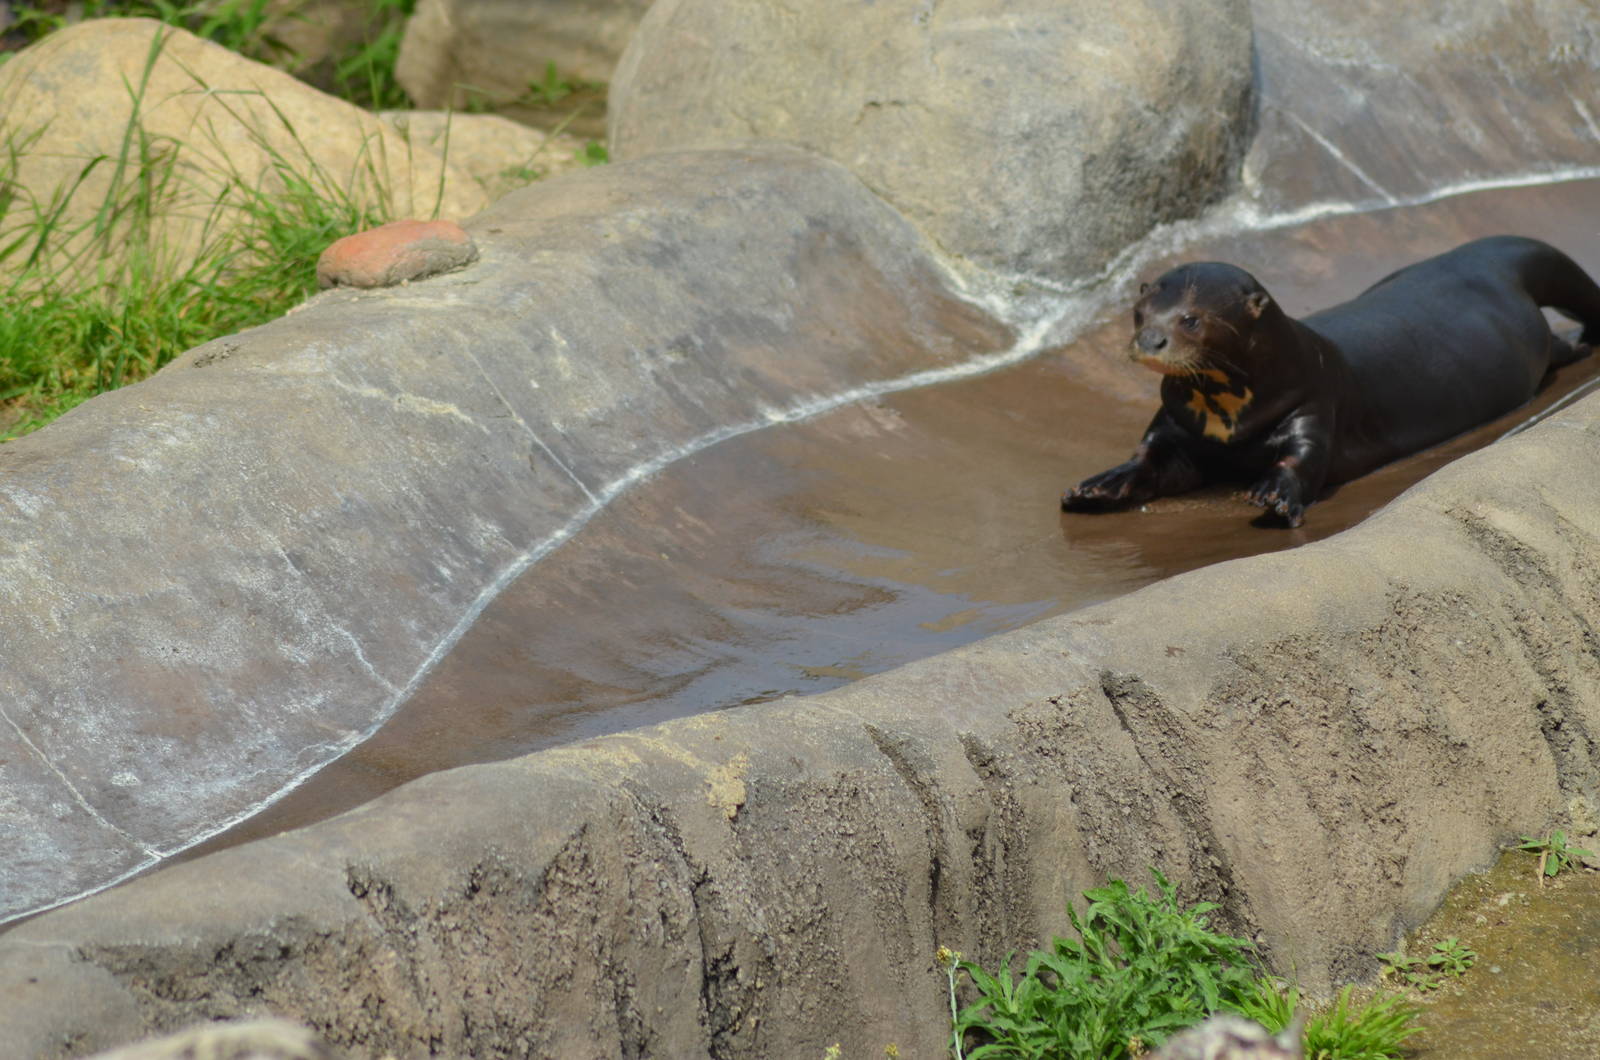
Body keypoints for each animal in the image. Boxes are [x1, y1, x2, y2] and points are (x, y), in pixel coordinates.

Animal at [1061, 236, 1600, 527]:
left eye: (1190, 319)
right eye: (1138, 313)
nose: (1150, 339)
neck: (1228, 422)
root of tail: (1481, 257)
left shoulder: (1314, 404)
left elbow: (1300, 460)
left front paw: (1274, 494)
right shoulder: (1175, 427)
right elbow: (1150, 458)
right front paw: (1098, 485)